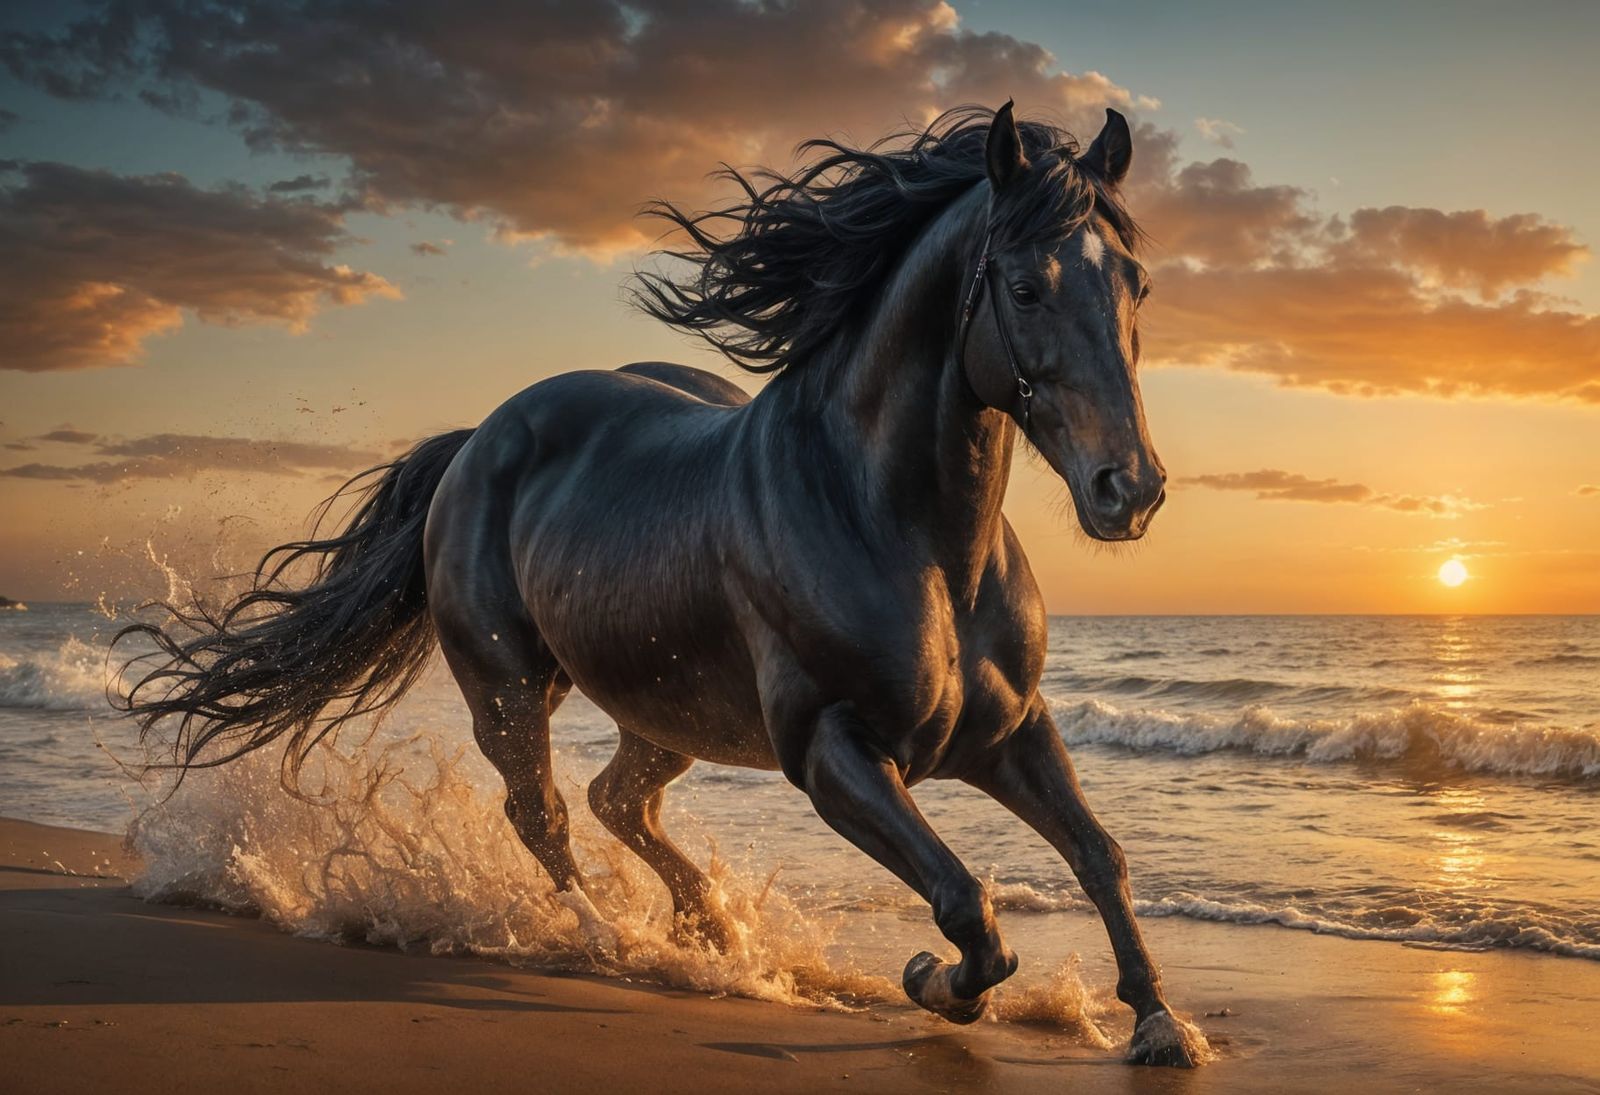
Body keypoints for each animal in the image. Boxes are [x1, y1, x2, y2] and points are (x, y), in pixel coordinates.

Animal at [118, 102, 1206, 1067]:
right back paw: (612, 941)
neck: (912, 538)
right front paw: (930, 983)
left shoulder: (1011, 731)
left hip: (663, 710)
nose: (1130, 489)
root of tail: (476, 441)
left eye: (1138, 286)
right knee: (547, 815)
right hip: (509, 691)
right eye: (1024, 287)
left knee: (619, 801)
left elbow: (1099, 855)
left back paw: (715, 940)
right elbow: (963, 900)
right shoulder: (832, 750)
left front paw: (1161, 1024)